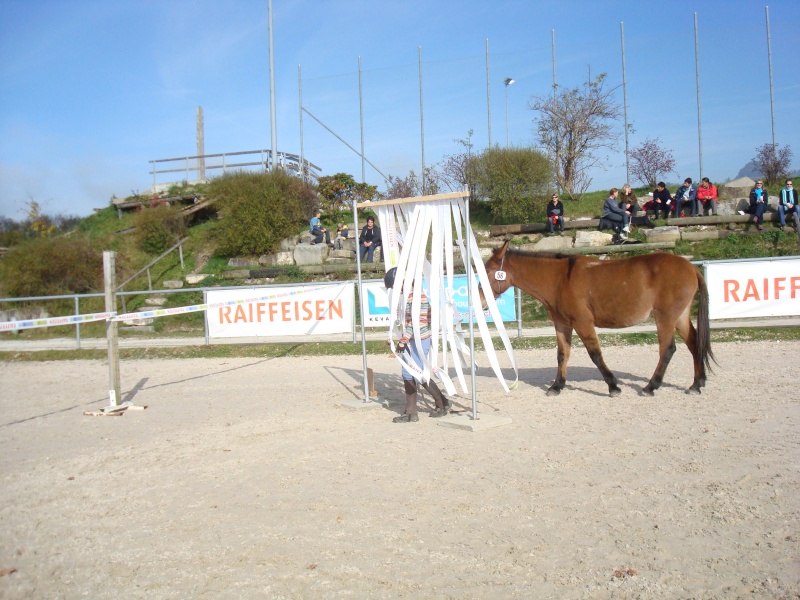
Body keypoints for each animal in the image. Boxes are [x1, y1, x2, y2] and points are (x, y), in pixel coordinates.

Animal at [482, 241, 712, 396]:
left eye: (489, 271)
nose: (481, 300)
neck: (560, 279)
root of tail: (690, 267)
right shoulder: (562, 324)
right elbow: (562, 355)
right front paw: (557, 386)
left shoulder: (583, 323)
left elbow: (595, 354)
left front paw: (613, 386)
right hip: (680, 317)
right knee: (694, 344)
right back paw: (696, 384)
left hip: (665, 317)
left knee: (667, 349)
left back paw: (651, 386)